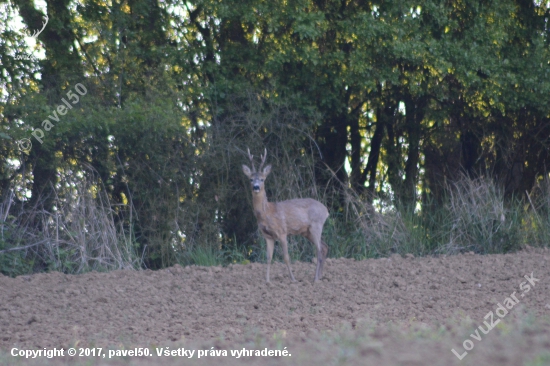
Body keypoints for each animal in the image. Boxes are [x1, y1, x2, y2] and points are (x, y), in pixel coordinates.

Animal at [244, 149, 330, 284]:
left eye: (262, 179)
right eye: (251, 179)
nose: (256, 187)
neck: (267, 212)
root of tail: (326, 210)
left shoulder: (282, 231)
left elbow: (286, 257)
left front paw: (293, 279)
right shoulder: (268, 236)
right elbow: (268, 257)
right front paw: (267, 281)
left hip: (316, 225)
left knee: (319, 250)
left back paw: (315, 279)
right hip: (306, 232)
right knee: (324, 246)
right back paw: (320, 276)